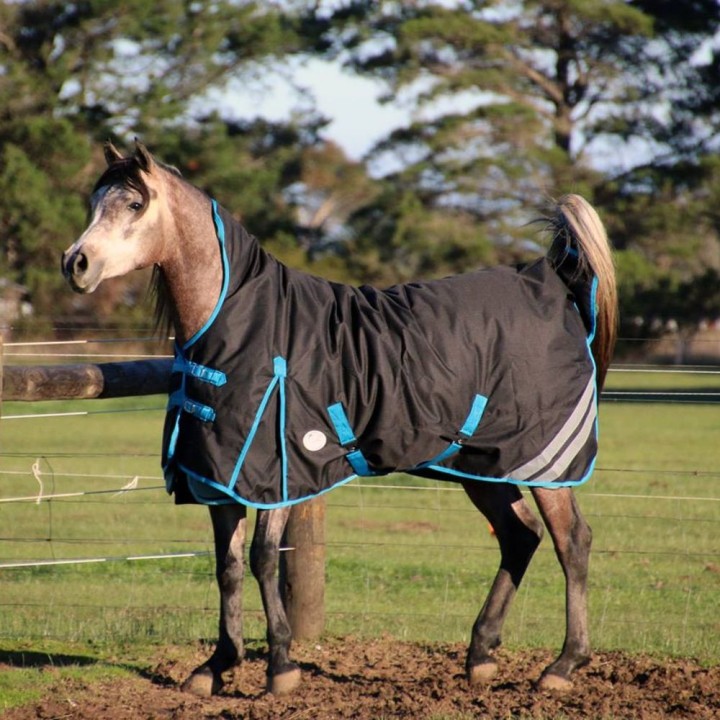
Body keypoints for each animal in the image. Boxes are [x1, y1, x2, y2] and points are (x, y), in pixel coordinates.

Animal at [61, 141, 617, 697]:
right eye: (94, 202)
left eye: (135, 204)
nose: (76, 263)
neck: (247, 324)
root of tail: (550, 280)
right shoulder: (219, 478)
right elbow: (228, 566)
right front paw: (217, 665)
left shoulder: (277, 476)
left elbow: (264, 558)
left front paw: (280, 667)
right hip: (479, 465)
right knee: (520, 536)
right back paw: (480, 655)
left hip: (544, 467)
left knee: (573, 542)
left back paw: (563, 665)